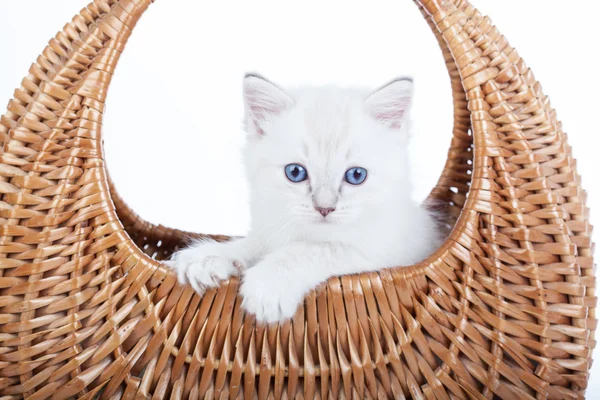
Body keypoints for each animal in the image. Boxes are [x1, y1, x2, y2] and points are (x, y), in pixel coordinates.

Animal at [171, 73, 442, 324]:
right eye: (295, 172)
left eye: (356, 175)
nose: (325, 208)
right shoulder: (273, 227)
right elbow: (255, 244)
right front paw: (210, 257)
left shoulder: (383, 251)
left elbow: (312, 250)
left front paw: (269, 285)